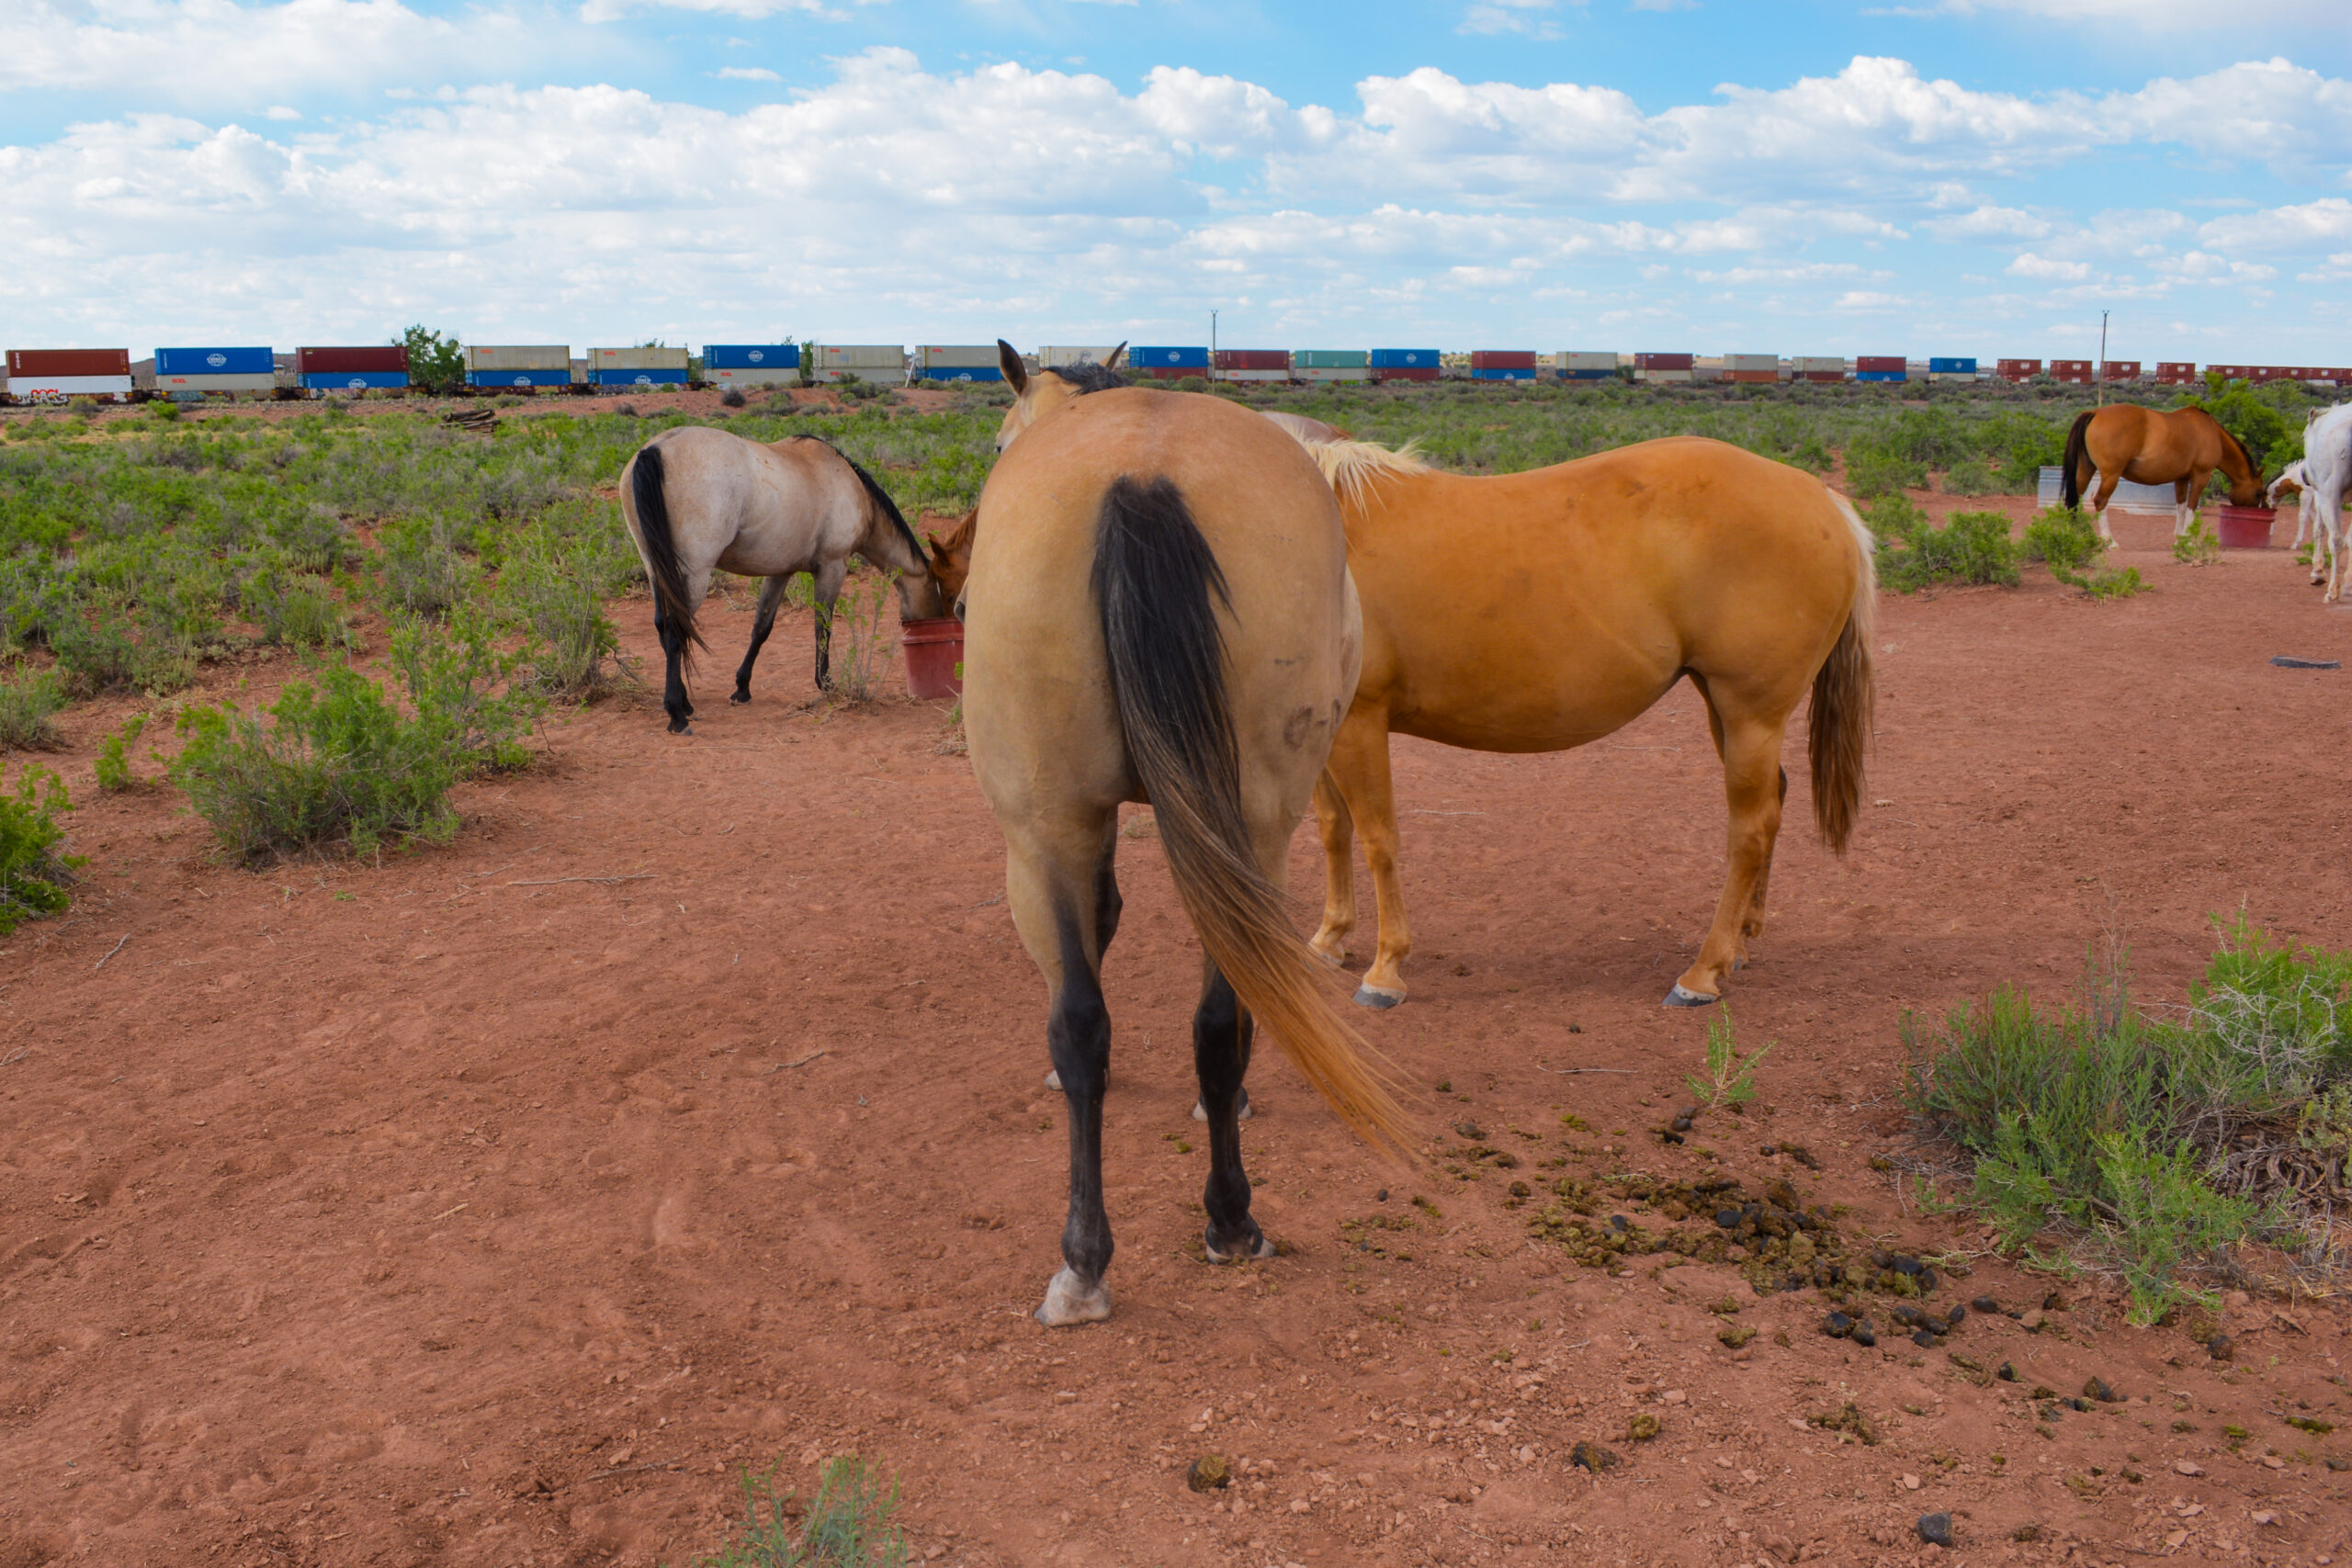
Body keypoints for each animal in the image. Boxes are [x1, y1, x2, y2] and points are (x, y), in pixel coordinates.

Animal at [619, 428, 946, 733]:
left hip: (658, 571)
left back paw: (685, 702)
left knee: (663, 628)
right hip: (694, 575)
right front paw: (826, 682)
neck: (849, 486)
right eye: (939, 596)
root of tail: (654, 450)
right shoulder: (832, 567)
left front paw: (742, 688)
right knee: (676, 630)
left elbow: (761, 629)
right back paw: (677, 714)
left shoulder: (779, 572)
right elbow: (823, 627)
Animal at [964, 339, 1407, 1326]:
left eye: (998, 440)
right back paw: (1181, 1232)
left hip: (1062, 833)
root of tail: (1140, 473)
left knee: (1121, 1018)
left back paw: (1133, 1247)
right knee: (1176, 1015)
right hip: (1224, 826)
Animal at [1278, 432, 1876, 1010]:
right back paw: (1741, 945)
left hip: (1751, 714)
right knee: (1774, 802)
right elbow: (1334, 827)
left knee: (1750, 829)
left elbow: (1379, 838)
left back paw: (1701, 974)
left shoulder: (1360, 721)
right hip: (1724, 711)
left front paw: (1385, 971)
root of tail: (1822, 498)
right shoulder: (1327, 725)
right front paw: (1328, 940)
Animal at [2060, 404, 2262, 542]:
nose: (2257, 513)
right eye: (2259, 493)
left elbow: (2180, 506)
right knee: (2100, 501)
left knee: (2075, 498)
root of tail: (2096, 413)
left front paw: (2179, 537)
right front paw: (2188, 538)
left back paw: (2074, 533)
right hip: (2111, 475)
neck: (2212, 433)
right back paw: (2109, 540)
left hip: (2086, 469)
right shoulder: (2201, 477)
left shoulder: (2181, 479)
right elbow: (2191, 506)